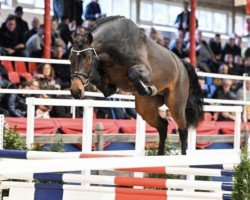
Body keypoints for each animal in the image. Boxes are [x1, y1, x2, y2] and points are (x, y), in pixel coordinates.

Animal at [69, 16, 204, 155]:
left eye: (88, 59)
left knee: (183, 129)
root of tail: (182, 64)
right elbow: (102, 82)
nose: (75, 90)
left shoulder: (145, 71)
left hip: (176, 105)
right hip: (146, 108)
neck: (114, 47)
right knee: (163, 126)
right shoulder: (107, 81)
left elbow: (132, 72)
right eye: (70, 58)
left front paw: (149, 89)